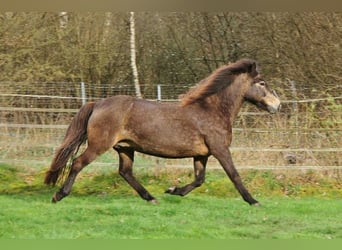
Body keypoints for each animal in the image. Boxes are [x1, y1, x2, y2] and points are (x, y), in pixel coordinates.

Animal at [44, 58, 280, 205]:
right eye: (262, 83)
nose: (277, 105)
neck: (211, 110)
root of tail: (97, 103)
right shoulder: (220, 149)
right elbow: (234, 175)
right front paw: (254, 201)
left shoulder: (201, 154)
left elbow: (199, 179)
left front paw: (173, 191)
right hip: (99, 145)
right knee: (78, 163)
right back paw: (58, 195)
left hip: (125, 148)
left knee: (125, 172)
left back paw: (151, 198)